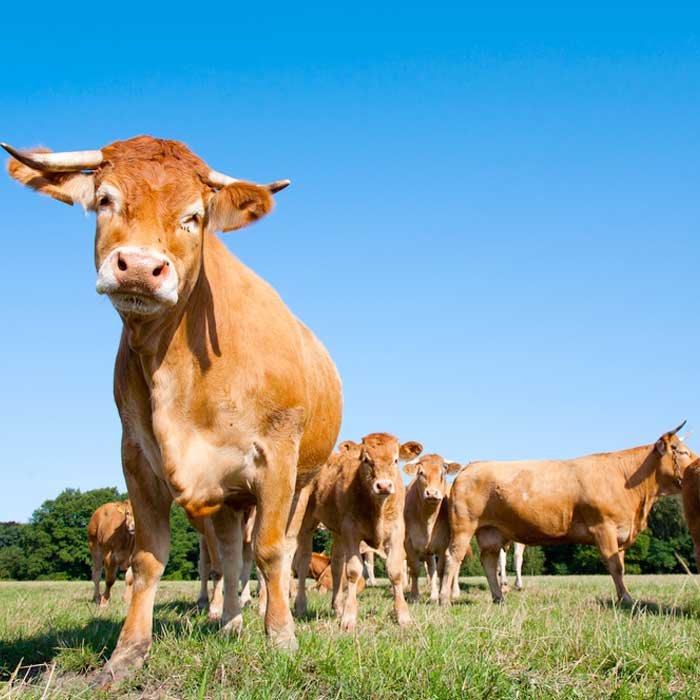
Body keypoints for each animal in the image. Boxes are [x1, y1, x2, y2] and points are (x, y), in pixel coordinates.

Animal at [4, 136, 343, 682]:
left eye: (194, 217)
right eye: (106, 200)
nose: (142, 268)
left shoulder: (276, 458)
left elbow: (271, 551)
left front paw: (282, 639)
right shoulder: (138, 458)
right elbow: (149, 560)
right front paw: (126, 655)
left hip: (300, 483)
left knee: (276, 549)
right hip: (228, 496)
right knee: (229, 556)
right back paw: (229, 624)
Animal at [293, 433, 422, 631]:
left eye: (395, 460)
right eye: (366, 460)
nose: (384, 486)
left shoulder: (396, 531)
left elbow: (394, 571)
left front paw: (403, 616)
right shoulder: (351, 531)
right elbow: (353, 570)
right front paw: (349, 618)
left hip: (338, 531)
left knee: (337, 564)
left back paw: (337, 606)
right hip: (307, 520)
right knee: (304, 560)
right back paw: (301, 606)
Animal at [403, 454, 462, 602]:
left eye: (443, 473)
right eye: (421, 473)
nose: (432, 493)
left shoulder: (443, 545)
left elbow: (441, 571)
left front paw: (442, 595)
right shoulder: (408, 543)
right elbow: (415, 569)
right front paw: (414, 596)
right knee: (430, 568)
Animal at [440, 422, 696, 606]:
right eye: (683, 451)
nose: (697, 465)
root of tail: (472, 466)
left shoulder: (620, 532)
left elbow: (620, 564)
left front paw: (623, 597)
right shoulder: (603, 527)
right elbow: (615, 566)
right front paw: (626, 600)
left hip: (490, 531)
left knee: (489, 561)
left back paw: (499, 598)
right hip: (464, 526)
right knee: (453, 557)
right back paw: (444, 599)